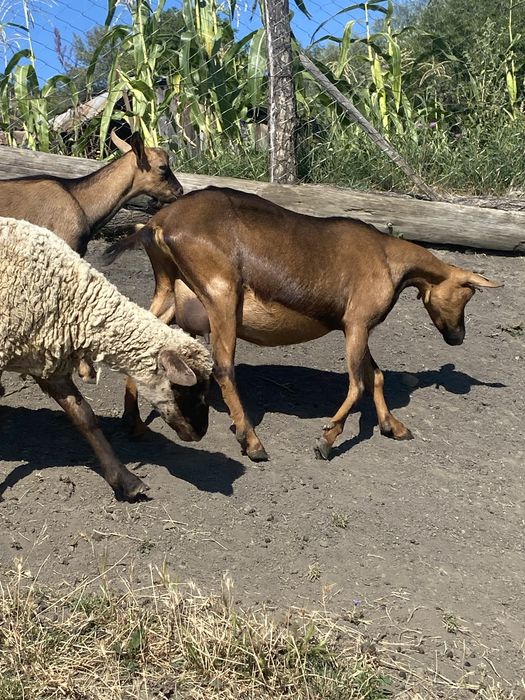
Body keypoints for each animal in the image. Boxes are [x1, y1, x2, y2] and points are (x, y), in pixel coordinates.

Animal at [104, 186, 503, 461]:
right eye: (466, 295)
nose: (457, 337)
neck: (389, 259)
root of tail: (158, 223)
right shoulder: (357, 323)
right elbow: (359, 382)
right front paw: (326, 439)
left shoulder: (355, 327)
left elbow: (375, 375)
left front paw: (393, 426)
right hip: (221, 295)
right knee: (223, 368)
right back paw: (251, 441)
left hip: (170, 293)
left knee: (140, 342)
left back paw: (134, 423)